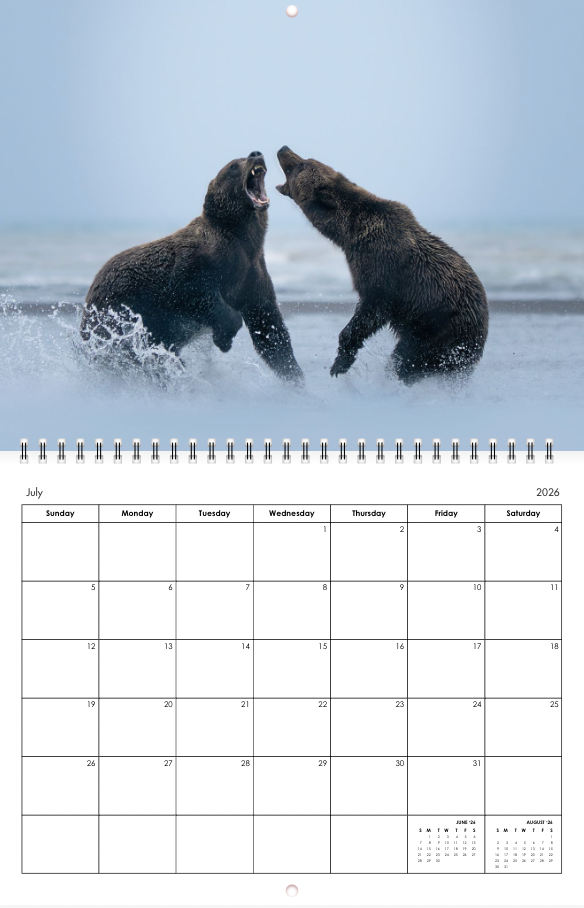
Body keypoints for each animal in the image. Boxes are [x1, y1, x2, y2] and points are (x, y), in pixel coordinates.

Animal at [80, 151, 303, 381]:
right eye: (234, 165)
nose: (255, 154)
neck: (242, 240)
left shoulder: (252, 275)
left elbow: (269, 329)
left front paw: (295, 375)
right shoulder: (198, 265)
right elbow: (196, 294)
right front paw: (224, 339)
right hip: (115, 313)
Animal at [276, 146, 488, 383]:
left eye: (302, 164)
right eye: (306, 159)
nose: (283, 149)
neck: (349, 234)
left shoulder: (383, 266)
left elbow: (370, 311)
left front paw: (339, 363)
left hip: (439, 331)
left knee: (407, 358)